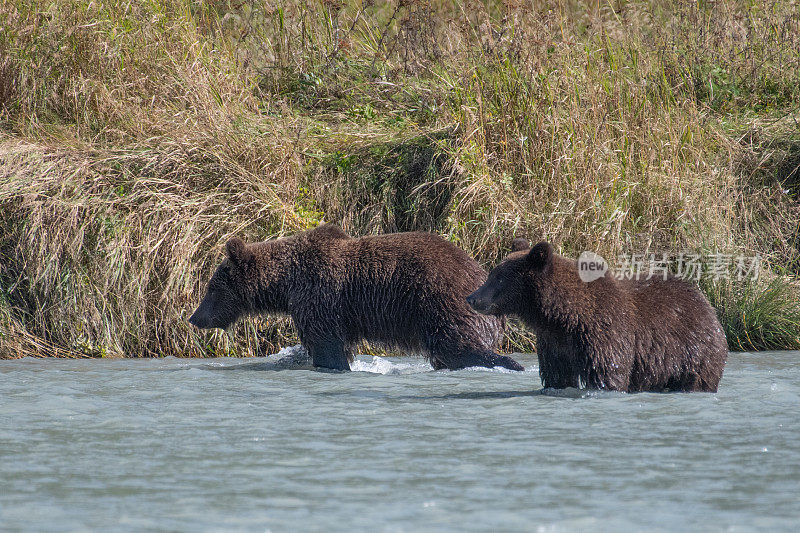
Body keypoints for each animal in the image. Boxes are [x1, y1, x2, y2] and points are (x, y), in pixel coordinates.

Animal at [190, 223, 520, 370]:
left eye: (211, 288)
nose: (195, 318)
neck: (286, 284)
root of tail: (478, 273)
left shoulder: (320, 298)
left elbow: (326, 346)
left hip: (438, 300)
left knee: (457, 345)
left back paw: (508, 363)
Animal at [466, 240, 728, 390]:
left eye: (498, 278)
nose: (472, 297)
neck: (562, 317)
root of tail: (706, 303)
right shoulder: (555, 343)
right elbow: (557, 375)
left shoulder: (604, 333)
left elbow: (608, 373)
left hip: (694, 352)